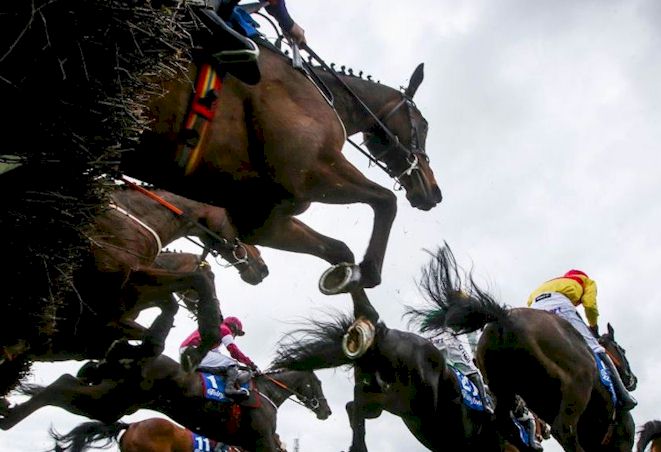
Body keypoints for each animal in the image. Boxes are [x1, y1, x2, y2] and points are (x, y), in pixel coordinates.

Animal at [0, 353, 331, 452]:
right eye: (318, 383)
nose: (326, 410)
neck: (265, 393)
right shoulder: (262, 439)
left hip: (114, 399)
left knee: (65, 381)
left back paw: (8, 411)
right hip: (114, 401)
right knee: (62, 383)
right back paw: (8, 414)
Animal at [121, 34, 442, 295]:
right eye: (424, 126)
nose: (434, 192)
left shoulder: (263, 219)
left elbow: (338, 249)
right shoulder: (315, 171)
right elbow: (386, 201)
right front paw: (370, 272)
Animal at [270, 291, 535, 452]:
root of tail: (384, 336)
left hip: (381, 398)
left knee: (354, 406)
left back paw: (357, 445)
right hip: (411, 404)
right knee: (362, 405)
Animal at [407, 244, 637, 452]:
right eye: (622, 350)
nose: (632, 380)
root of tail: (504, 319)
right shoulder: (622, 438)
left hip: (504, 388)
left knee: (505, 424)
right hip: (576, 385)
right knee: (564, 431)